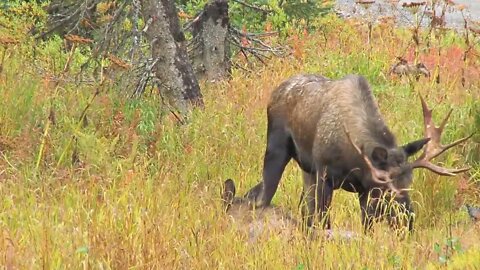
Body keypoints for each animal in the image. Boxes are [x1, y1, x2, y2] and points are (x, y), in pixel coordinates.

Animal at [246, 74, 470, 232]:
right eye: (387, 188)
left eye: (409, 182)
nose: (408, 220)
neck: (354, 160)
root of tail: (276, 91)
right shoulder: (325, 176)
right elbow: (325, 222)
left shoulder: (364, 189)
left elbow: (366, 228)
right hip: (276, 150)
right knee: (263, 197)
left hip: (307, 171)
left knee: (300, 208)